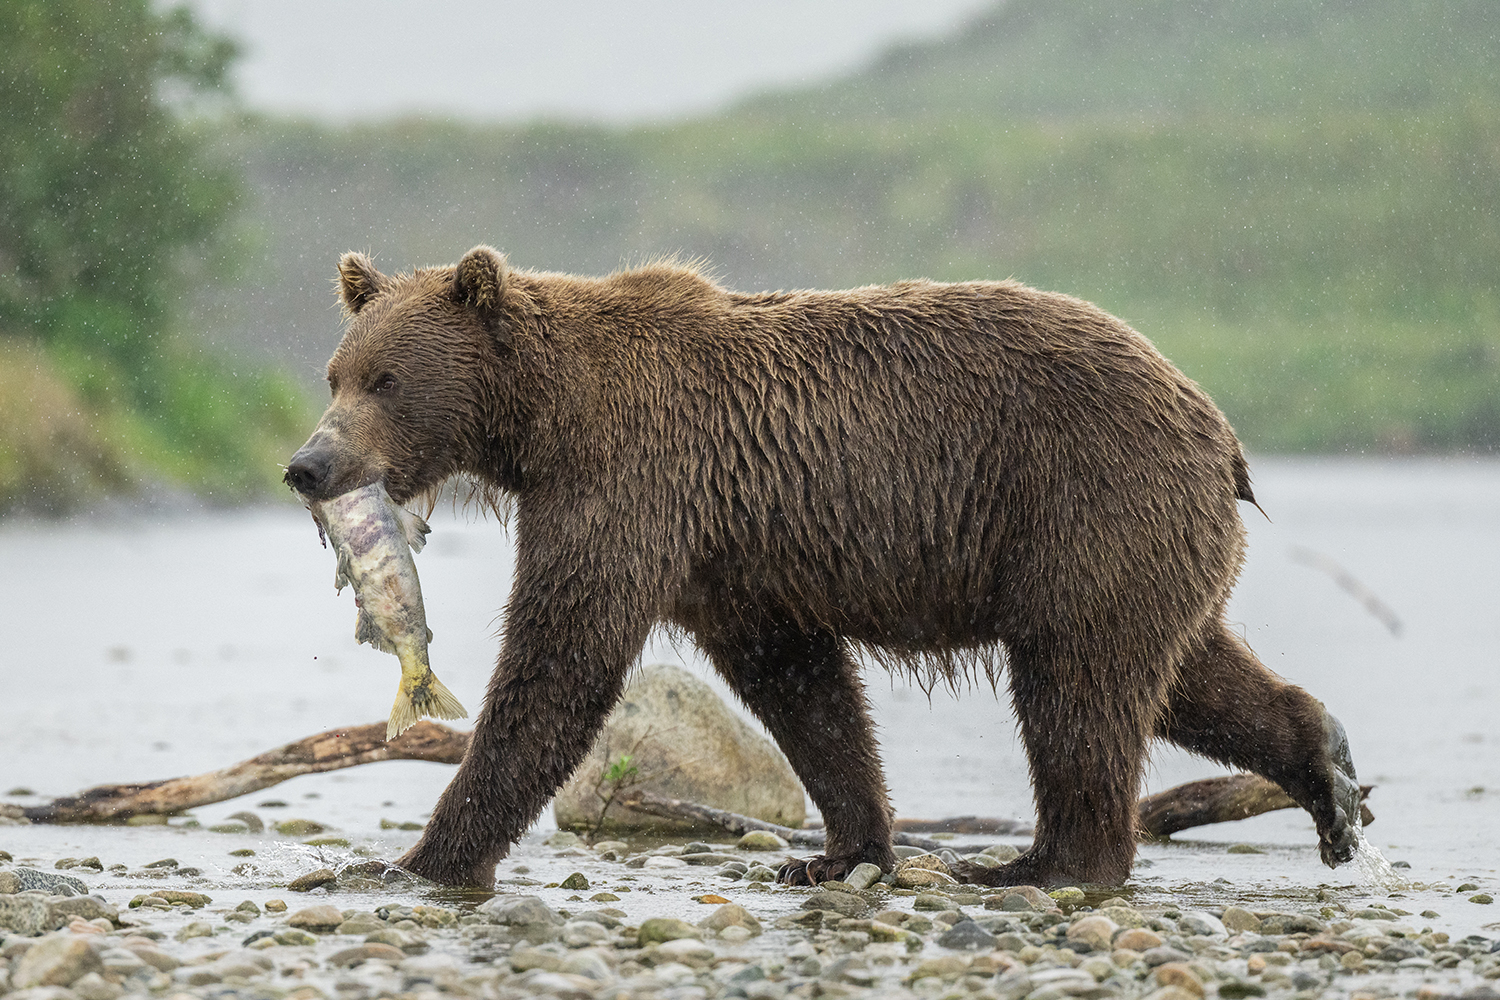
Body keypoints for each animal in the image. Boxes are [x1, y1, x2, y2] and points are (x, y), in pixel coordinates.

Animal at [286, 245, 1368, 887]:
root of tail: (1218, 428)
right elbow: (802, 687)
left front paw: (419, 858)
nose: (309, 464)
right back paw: (1328, 774)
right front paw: (844, 849)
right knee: (1183, 671)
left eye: (387, 377)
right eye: (335, 373)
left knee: (1078, 687)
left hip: (1082, 501)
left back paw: (1043, 863)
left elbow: (561, 662)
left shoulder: (633, 480)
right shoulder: (732, 549)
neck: (543, 421)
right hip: (1138, 539)